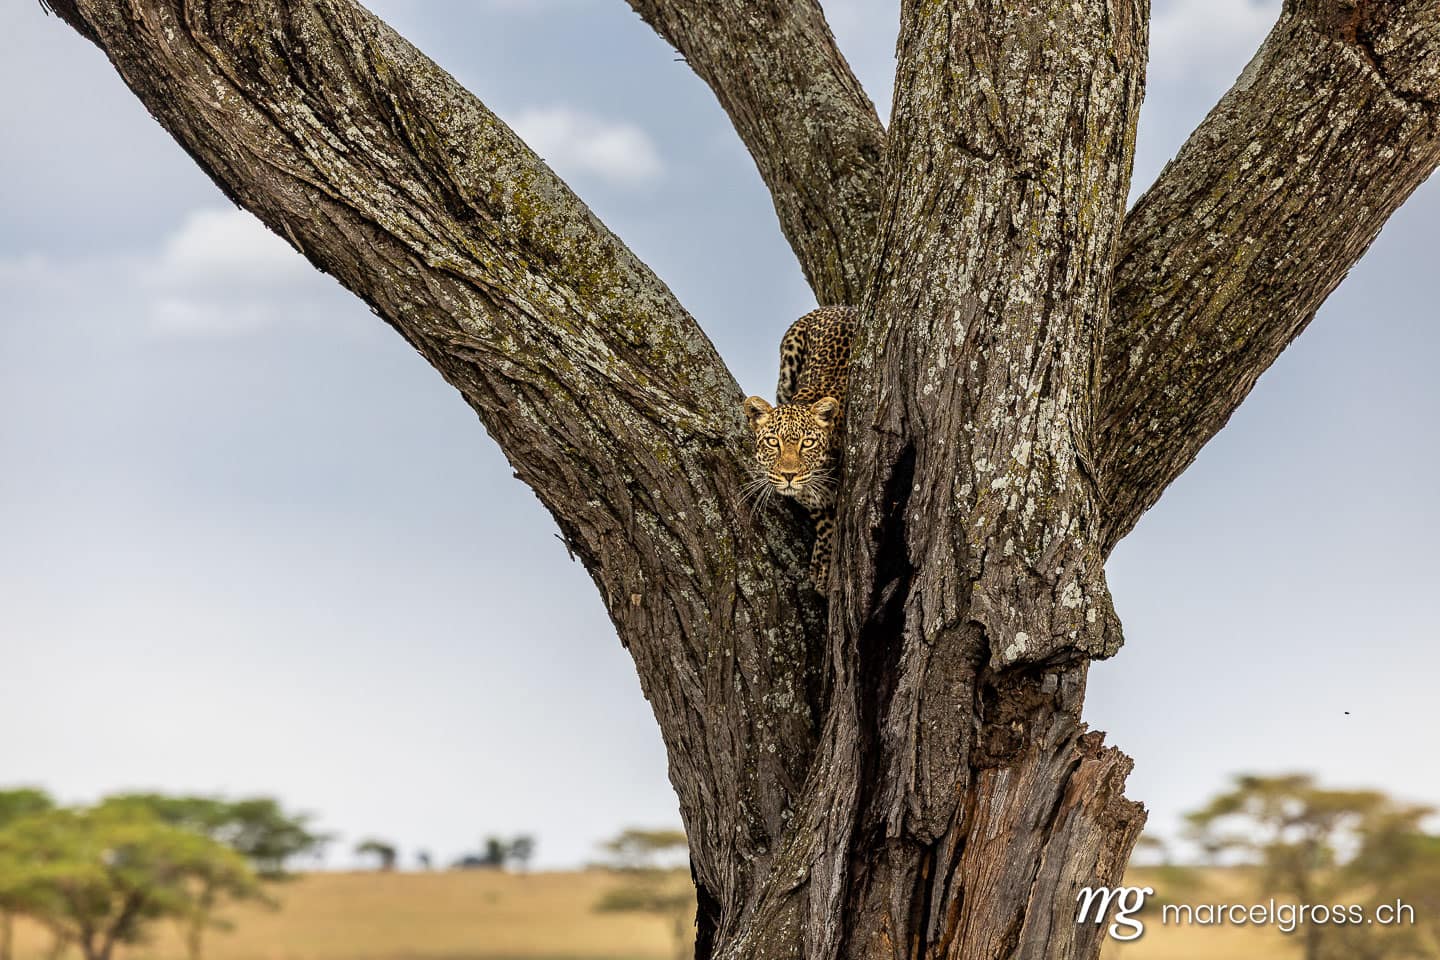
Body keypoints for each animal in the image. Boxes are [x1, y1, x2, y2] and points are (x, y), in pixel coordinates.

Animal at [742, 305, 856, 589]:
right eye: (773, 442)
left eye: (808, 443)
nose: (789, 475)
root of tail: (840, 307)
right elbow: (822, 514)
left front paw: (823, 566)